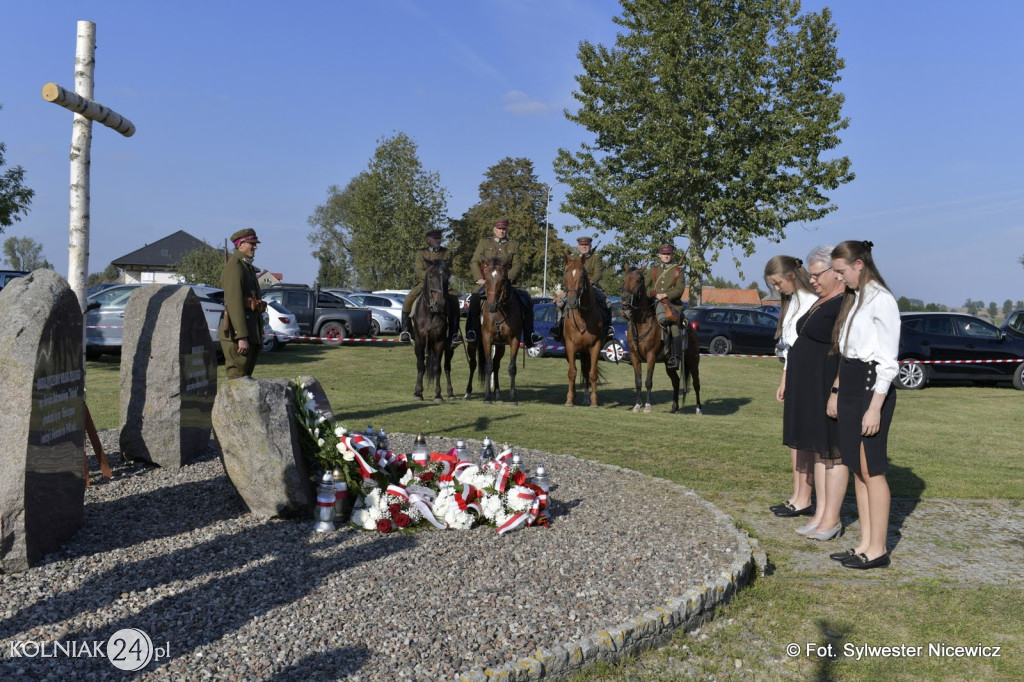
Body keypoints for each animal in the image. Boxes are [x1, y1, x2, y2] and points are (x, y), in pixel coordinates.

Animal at [409, 258, 454, 401]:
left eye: (447, 276)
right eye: (430, 276)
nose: (439, 304)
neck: (431, 313)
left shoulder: (440, 343)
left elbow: (437, 367)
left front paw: (438, 394)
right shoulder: (419, 343)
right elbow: (421, 366)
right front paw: (418, 392)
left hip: (449, 348)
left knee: (447, 367)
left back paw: (450, 392)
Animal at [466, 256, 524, 403]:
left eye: (503, 280)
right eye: (486, 279)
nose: (492, 306)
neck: (500, 311)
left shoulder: (514, 340)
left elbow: (511, 367)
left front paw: (513, 397)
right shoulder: (486, 339)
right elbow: (488, 366)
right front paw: (487, 397)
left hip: (500, 346)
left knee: (496, 364)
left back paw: (497, 393)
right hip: (473, 343)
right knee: (473, 364)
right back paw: (468, 392)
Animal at [561, 253, 606, 403]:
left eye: (582, 276)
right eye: (565, 275)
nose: (571, 302)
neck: (583, 318)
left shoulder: (596, 345)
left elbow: (592, 373)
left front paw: (594, 401)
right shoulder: (570, 345)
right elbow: (572, 372)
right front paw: (569, 399)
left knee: (586, 370)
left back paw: (587, 397)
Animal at [614, 266, 704, 413]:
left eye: (638, 280)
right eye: (623, 279)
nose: (625, 299)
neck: (642, 323)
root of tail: (690, 329)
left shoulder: (651, 356)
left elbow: (648, 382)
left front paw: (647, 406)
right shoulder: (634, 357)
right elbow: (638, 382)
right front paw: (637, 405)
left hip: (693, 361)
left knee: (696, 383)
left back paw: (698, 409)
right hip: (669, 364)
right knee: (676, 381)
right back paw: (674, 407)